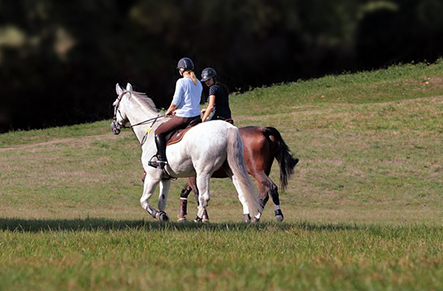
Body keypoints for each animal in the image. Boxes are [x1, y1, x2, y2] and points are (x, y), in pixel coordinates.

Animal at [112, 83, 264, 222]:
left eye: (114, 105)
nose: (114, 127)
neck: (148, 130)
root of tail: (228, 128)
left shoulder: (152, 176)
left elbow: (143, 201)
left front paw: (157, 214)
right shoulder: (165, 178)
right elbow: (162, 201)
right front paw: (163, 215)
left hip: (203, 172)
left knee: (204, 197)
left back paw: (198, 220)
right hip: (231, 169)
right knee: (243, 193)